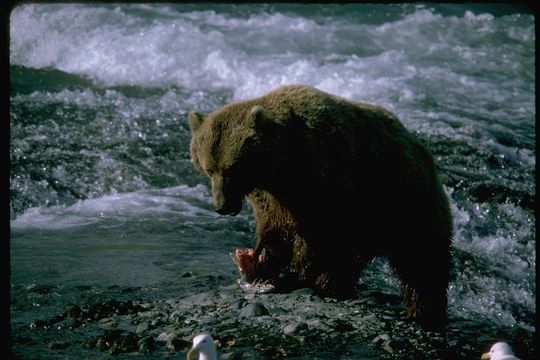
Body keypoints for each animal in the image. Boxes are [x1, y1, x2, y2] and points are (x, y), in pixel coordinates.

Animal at [189, 84, 452, 330]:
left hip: (407, 202)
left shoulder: (325, 180)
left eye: (231, 169)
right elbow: (275, 229)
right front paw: (261, 265)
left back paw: (426, 313)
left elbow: (316, 236)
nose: (221, 206)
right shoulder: (271, 196)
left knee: (422, 265)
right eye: (209, 168)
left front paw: (292, 275)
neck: (281, 165)